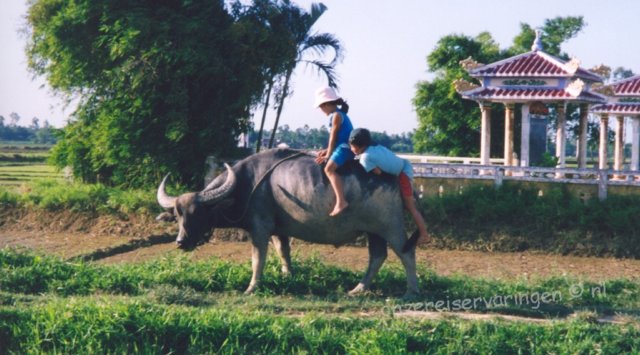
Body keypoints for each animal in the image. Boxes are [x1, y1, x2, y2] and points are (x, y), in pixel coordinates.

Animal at [158, 149, 422, 296]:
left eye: (198, 213)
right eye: (178, 215)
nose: (180, 242)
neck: (246, 184)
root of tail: (396, 176)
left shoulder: (259, 229)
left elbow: (258, 259)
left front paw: (252, 287)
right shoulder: (278, 231)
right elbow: (283, 253)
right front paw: (288, 277)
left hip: (391, 227)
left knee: (405, 253)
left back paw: (411, 291)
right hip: (373, 231)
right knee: (377, 256)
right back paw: (359, 289)